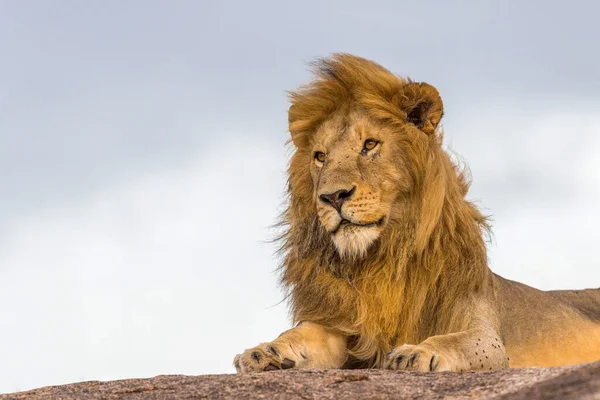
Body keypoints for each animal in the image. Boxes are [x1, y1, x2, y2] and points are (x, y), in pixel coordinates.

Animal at [233, 54, 600, 376]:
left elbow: (456, 341)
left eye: (370, 145)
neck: (381, 258)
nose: (332, 197)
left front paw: (417, 352)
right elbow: (302, 333)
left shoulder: (487, 334)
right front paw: (264, 352)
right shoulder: (343, 325)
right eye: (320, 156)